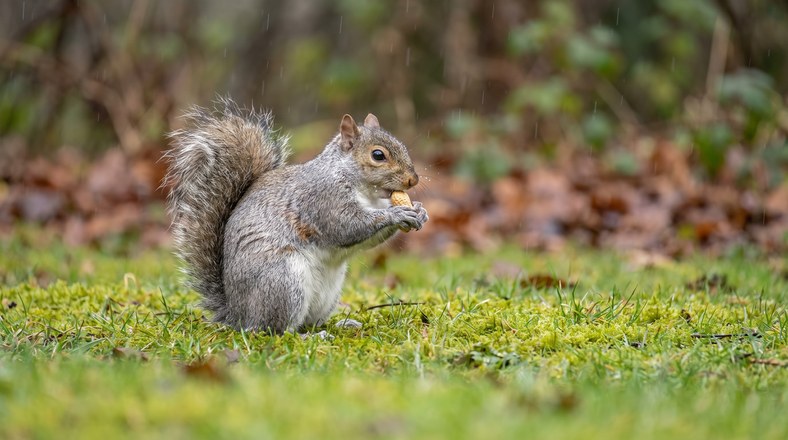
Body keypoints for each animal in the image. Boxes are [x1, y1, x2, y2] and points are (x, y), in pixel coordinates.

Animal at [164, 98, 428, 334]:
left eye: (402, 146)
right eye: (378, 155)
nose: (413, 180)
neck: (366, 193)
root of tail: (237, 314)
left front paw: (419, 211)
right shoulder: (324, 200)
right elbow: (347, 227)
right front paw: (395, 213)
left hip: (327, 293)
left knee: (309, 321)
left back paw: (340, 325)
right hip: (283, 282)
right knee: (275, 329)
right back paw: (309, 336)